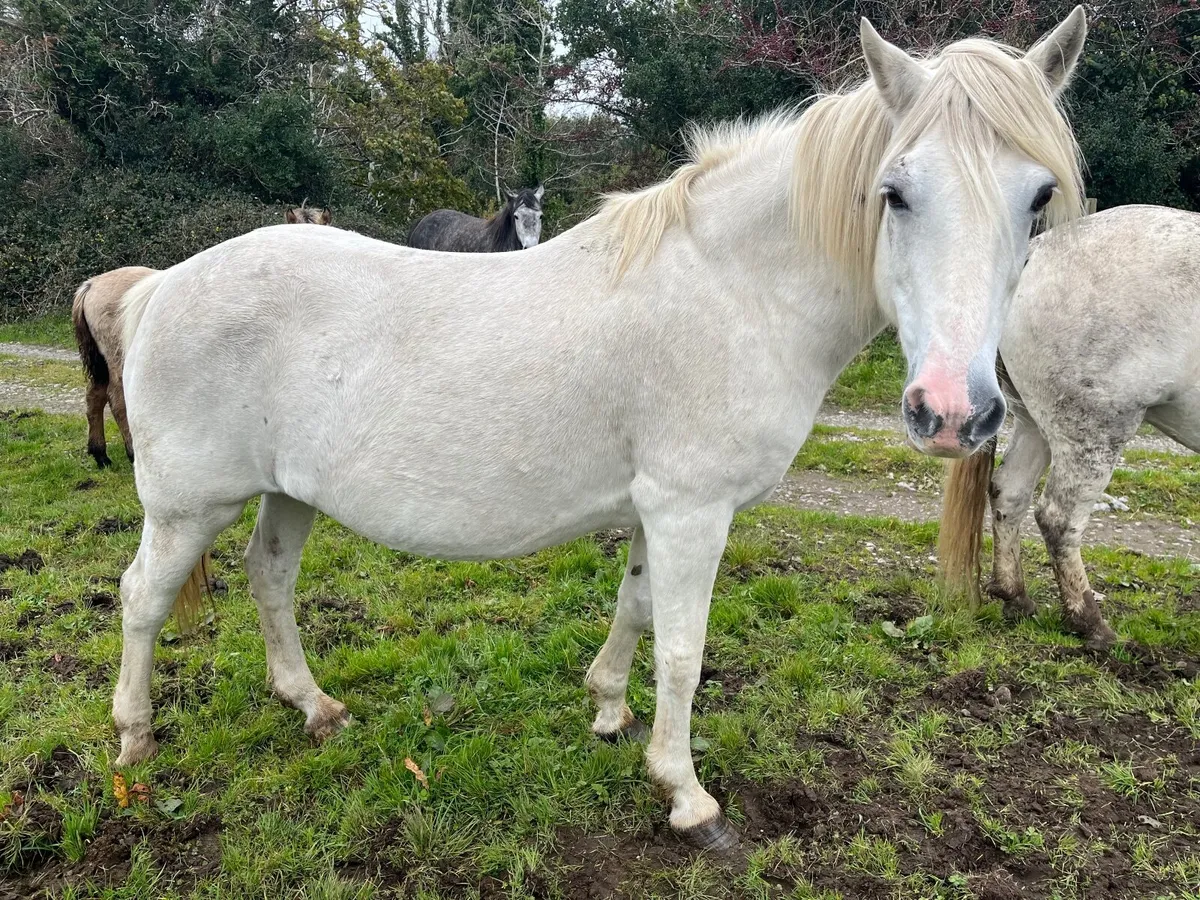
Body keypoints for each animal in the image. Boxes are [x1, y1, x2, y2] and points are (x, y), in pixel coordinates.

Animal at [939, 205, 1200, 650]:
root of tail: (1037, 251)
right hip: (1093, 431)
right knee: (1058, 518)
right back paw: (1089, 623)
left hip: (1036, 424)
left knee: (1009, 491)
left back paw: (1016, 596)